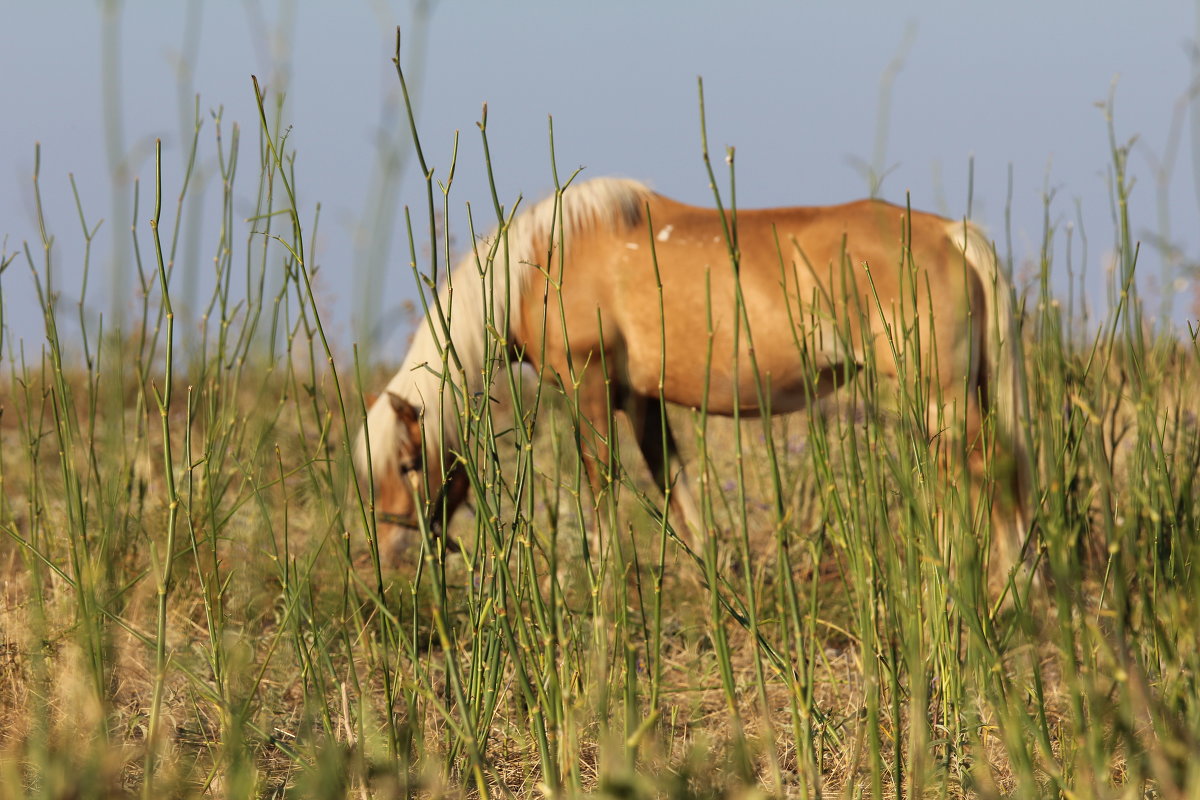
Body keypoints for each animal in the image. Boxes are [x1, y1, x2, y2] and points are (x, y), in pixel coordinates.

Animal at [352, 176, 1032, 587]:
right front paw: (710, 571)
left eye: (408, 464)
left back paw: (1008, 582)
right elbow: (672, 479)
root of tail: (950, 234)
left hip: (940, 395)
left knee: (986, 468)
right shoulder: (640, 399)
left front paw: (604, 581)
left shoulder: (588, 384)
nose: (388, 558)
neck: (535, 265)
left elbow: (601, 481)